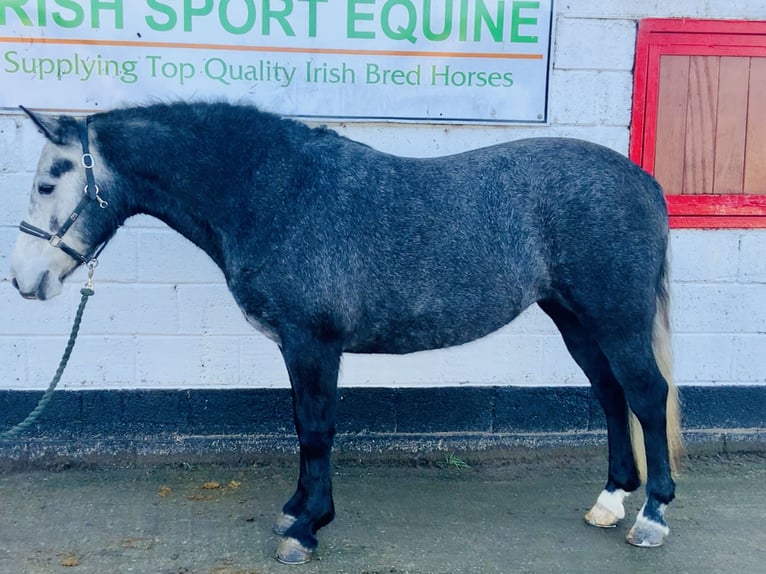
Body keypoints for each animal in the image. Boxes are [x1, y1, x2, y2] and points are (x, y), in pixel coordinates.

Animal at [9, 101, 684, 564]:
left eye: (47, 182)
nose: (23, 278)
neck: (277, 194)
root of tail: (645, 182)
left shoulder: (314, 343)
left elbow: (316, 430)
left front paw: (307, 530)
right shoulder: (297, 347)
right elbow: (302, 426)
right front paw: (295, 513)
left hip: (615, 319)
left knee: (647, 397)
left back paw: (652, 516)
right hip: (576, 319)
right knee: (612, 396)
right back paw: (611, 500)